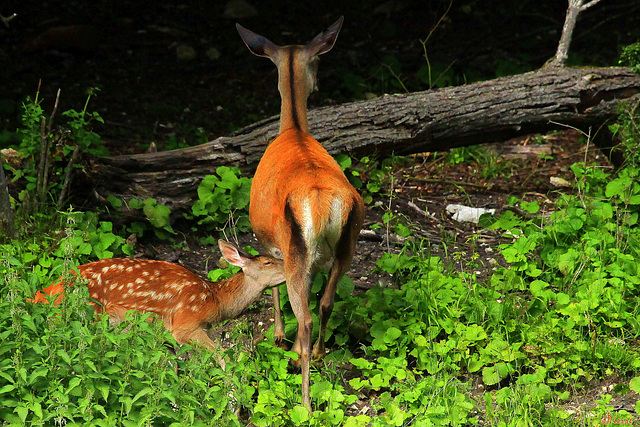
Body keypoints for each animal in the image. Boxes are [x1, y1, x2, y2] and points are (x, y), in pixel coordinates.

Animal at [236, 17, 364, 412]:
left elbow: (273, 288)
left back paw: (305, 401)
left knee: (305, 316)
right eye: (317, 61)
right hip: (349, 242)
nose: (319, 83)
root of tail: (322, 202)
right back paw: (318, 354)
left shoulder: (267, 241)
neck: (293, 129)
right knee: (325, 302)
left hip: (295, 249)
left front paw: (279, 337)